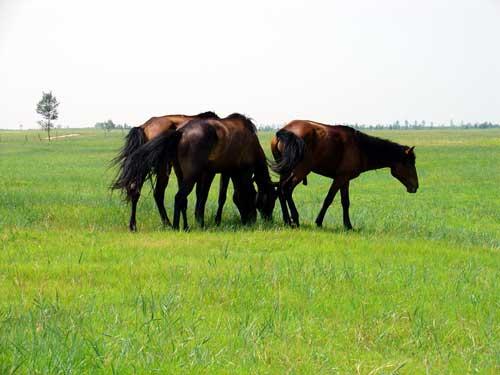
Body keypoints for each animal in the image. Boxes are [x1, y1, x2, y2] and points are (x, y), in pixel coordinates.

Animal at [133, 113, 278, 231]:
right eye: (271, 199)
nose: (268, 220)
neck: (251, 141)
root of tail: (181, 132)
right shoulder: (234, 172)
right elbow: (228, 195)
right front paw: (212, 221)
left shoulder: (228, 172)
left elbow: (220, 195)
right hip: (187, 175)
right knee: (177, 197)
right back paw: (174, 226)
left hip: (179, 173)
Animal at [270, 121, 418, 229]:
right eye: (409, 164)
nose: (416, 186)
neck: (360, 147)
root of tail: (285, 131)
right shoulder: (340, 178)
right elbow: (328, 199)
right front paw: (319, 222)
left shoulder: (345, 180)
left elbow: (345, 202)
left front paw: (348, 225)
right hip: (300, 171)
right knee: (286, 189)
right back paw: (294, 219)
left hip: (286, 170)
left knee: (280, 190)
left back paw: (287, 220)